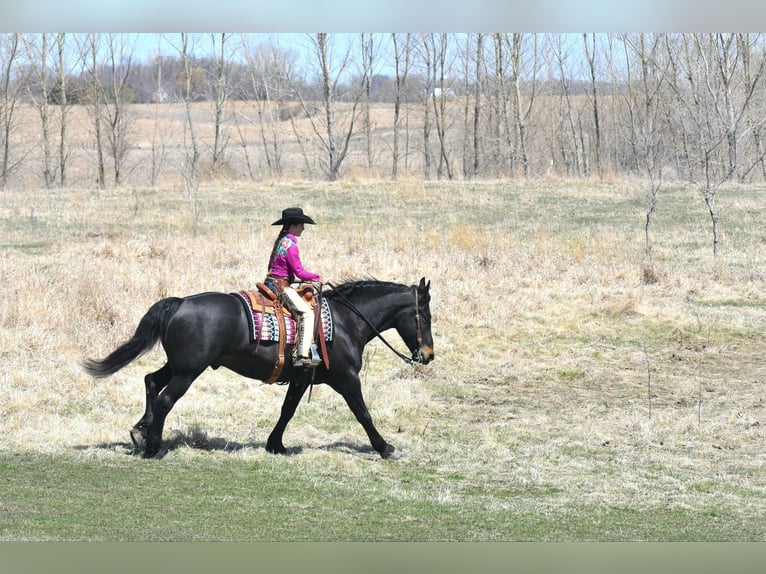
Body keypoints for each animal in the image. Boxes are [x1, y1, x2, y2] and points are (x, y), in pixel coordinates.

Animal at [82, 278, 434, 460]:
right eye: (426, 316)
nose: (428, 355)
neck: (347, 322)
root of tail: (180, 302)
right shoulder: (347, 379)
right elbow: (363, 413)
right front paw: (386, 448)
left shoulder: (300, 378)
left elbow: (287, 411)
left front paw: (275, 445)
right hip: (188, 371)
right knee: (165, 399)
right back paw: (153, 447)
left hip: (179, 365)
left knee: (151, 381)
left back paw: (140, 433)